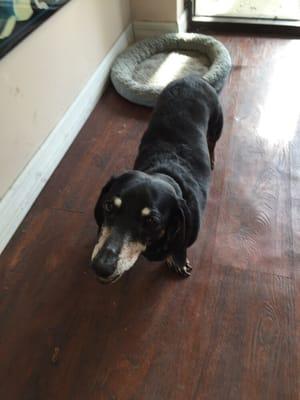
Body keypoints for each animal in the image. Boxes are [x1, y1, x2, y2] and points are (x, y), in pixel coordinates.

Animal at [91, 74, 223, 282]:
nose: (101, 267)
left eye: (152, 221)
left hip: (218, 122)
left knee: (212, 142)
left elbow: (178, 250)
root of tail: (193, 77)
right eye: (109, 206)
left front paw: (178, 261)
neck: (166, 173)